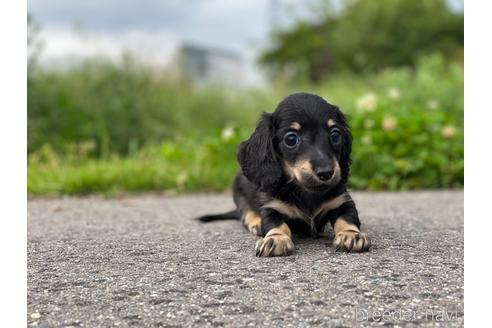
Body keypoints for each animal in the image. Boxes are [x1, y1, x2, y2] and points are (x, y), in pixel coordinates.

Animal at [196, 91, 368, 256]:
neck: (307, 193)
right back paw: (256, 223)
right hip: (238, 190)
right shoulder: (272, 207)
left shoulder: (342, 202)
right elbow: (276, 224)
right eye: (291, 139)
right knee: (246, 213)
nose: (326, 172)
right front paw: (275, 239)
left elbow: (347, 218)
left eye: (335, 135)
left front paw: (351, 235)